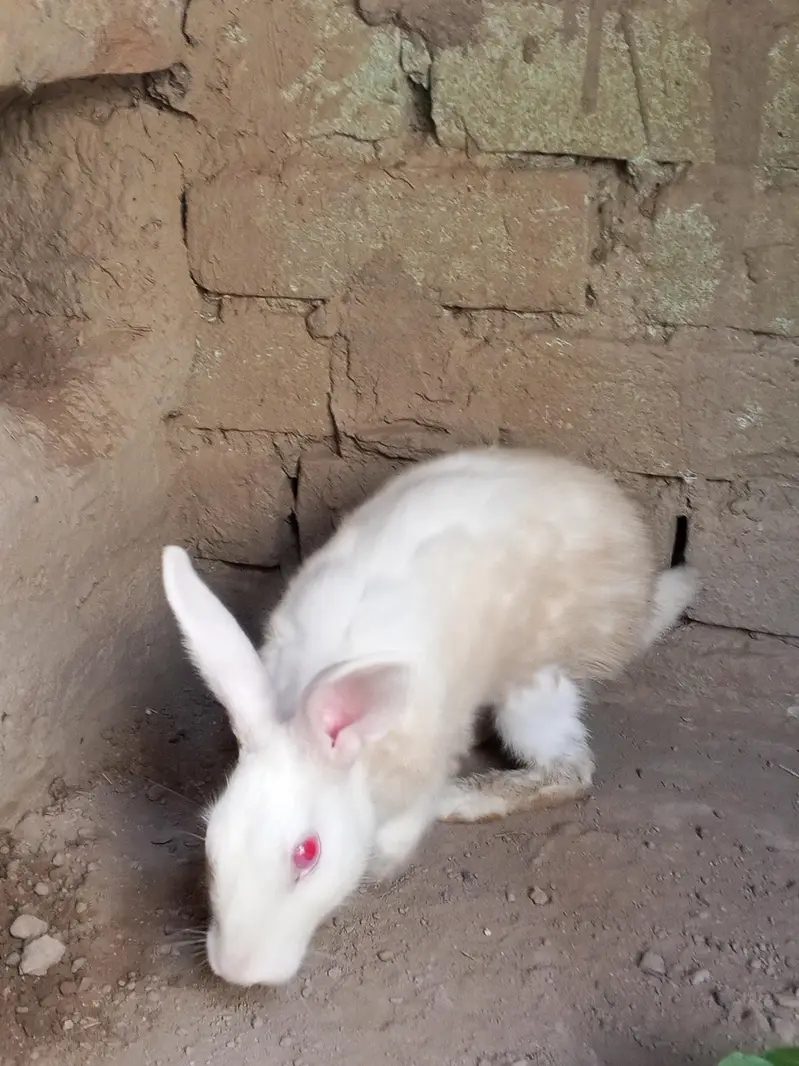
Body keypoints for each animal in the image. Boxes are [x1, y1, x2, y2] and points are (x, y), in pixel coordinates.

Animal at [162, 446, 696, 987]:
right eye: (210, 835)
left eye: (307, 853)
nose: (237, 971)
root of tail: (645, 591)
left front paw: (384, 862)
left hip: (535, 685)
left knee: (569, 769)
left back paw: (464, 799)